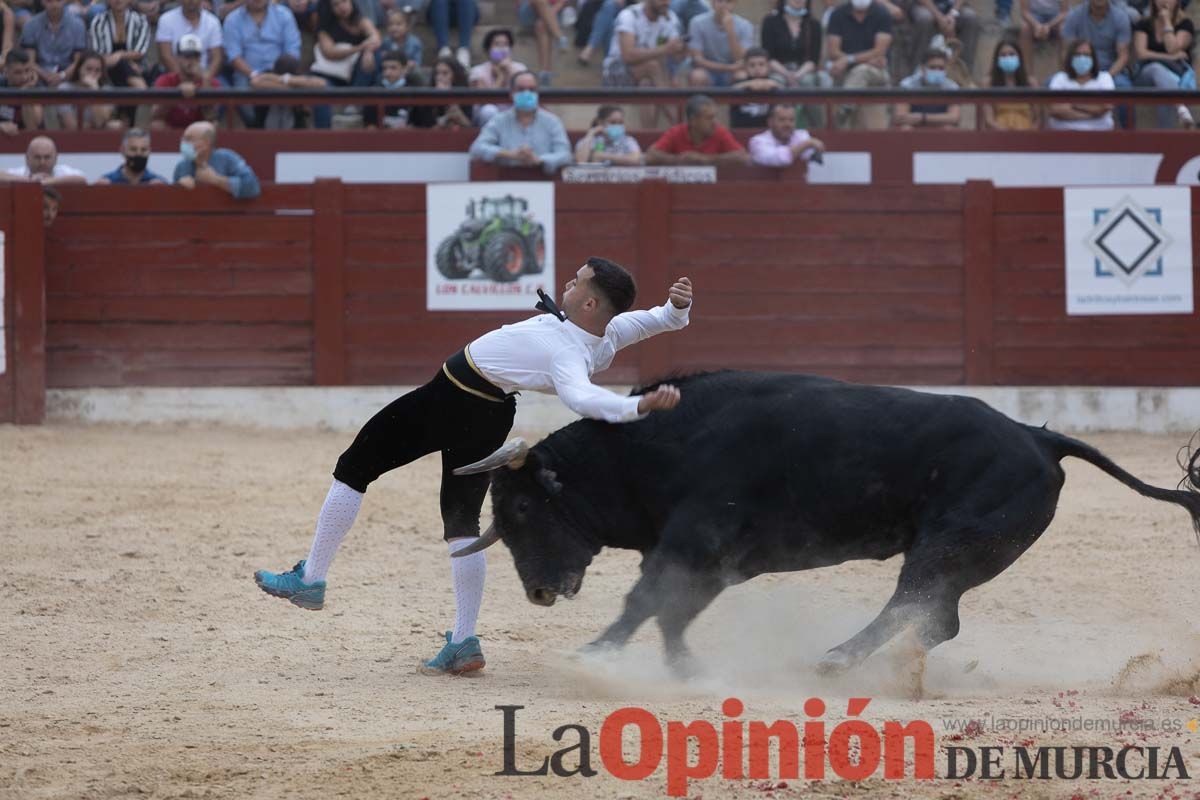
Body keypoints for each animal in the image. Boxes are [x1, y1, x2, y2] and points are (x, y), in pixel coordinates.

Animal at [451, 371, 1200, 671]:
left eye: (522, 507)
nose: (538, 591)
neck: (656, 446)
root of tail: (1040, 438)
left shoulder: (694, 540)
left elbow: (647, 601)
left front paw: (597, 655)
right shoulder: (712, 559)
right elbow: (670, 612)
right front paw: (683, 668)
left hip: (949, 545)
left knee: (917, 606)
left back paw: (837, 659)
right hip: (959, 555)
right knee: (935, 618)